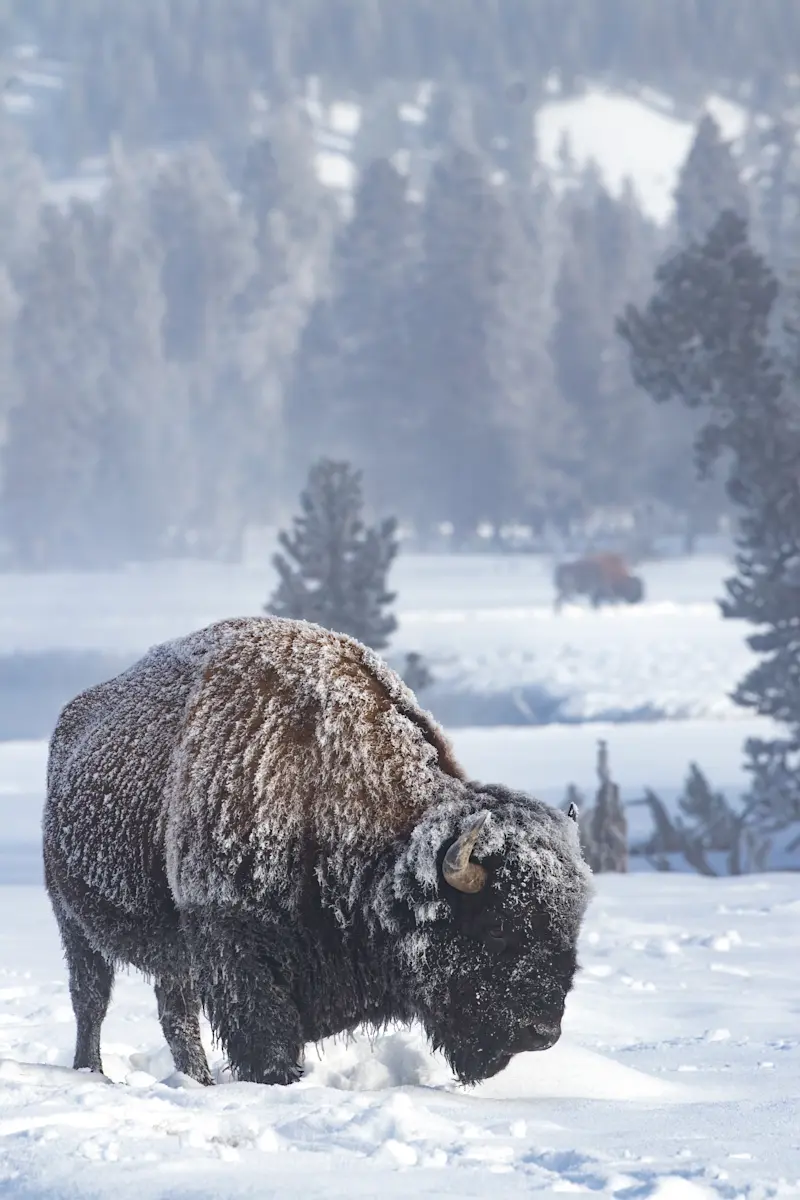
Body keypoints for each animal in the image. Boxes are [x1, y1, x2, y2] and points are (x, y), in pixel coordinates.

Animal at [44, 617, 592, 1087]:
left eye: (571, 924)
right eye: (497, 926)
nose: (543, 1033)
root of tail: (69, 723)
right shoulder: (237, 951)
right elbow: (266, 1043)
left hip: (168, 956)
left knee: (174, 1016)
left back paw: (197, 1081)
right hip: (72, 921)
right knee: (90, 999)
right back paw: (91, 1071)